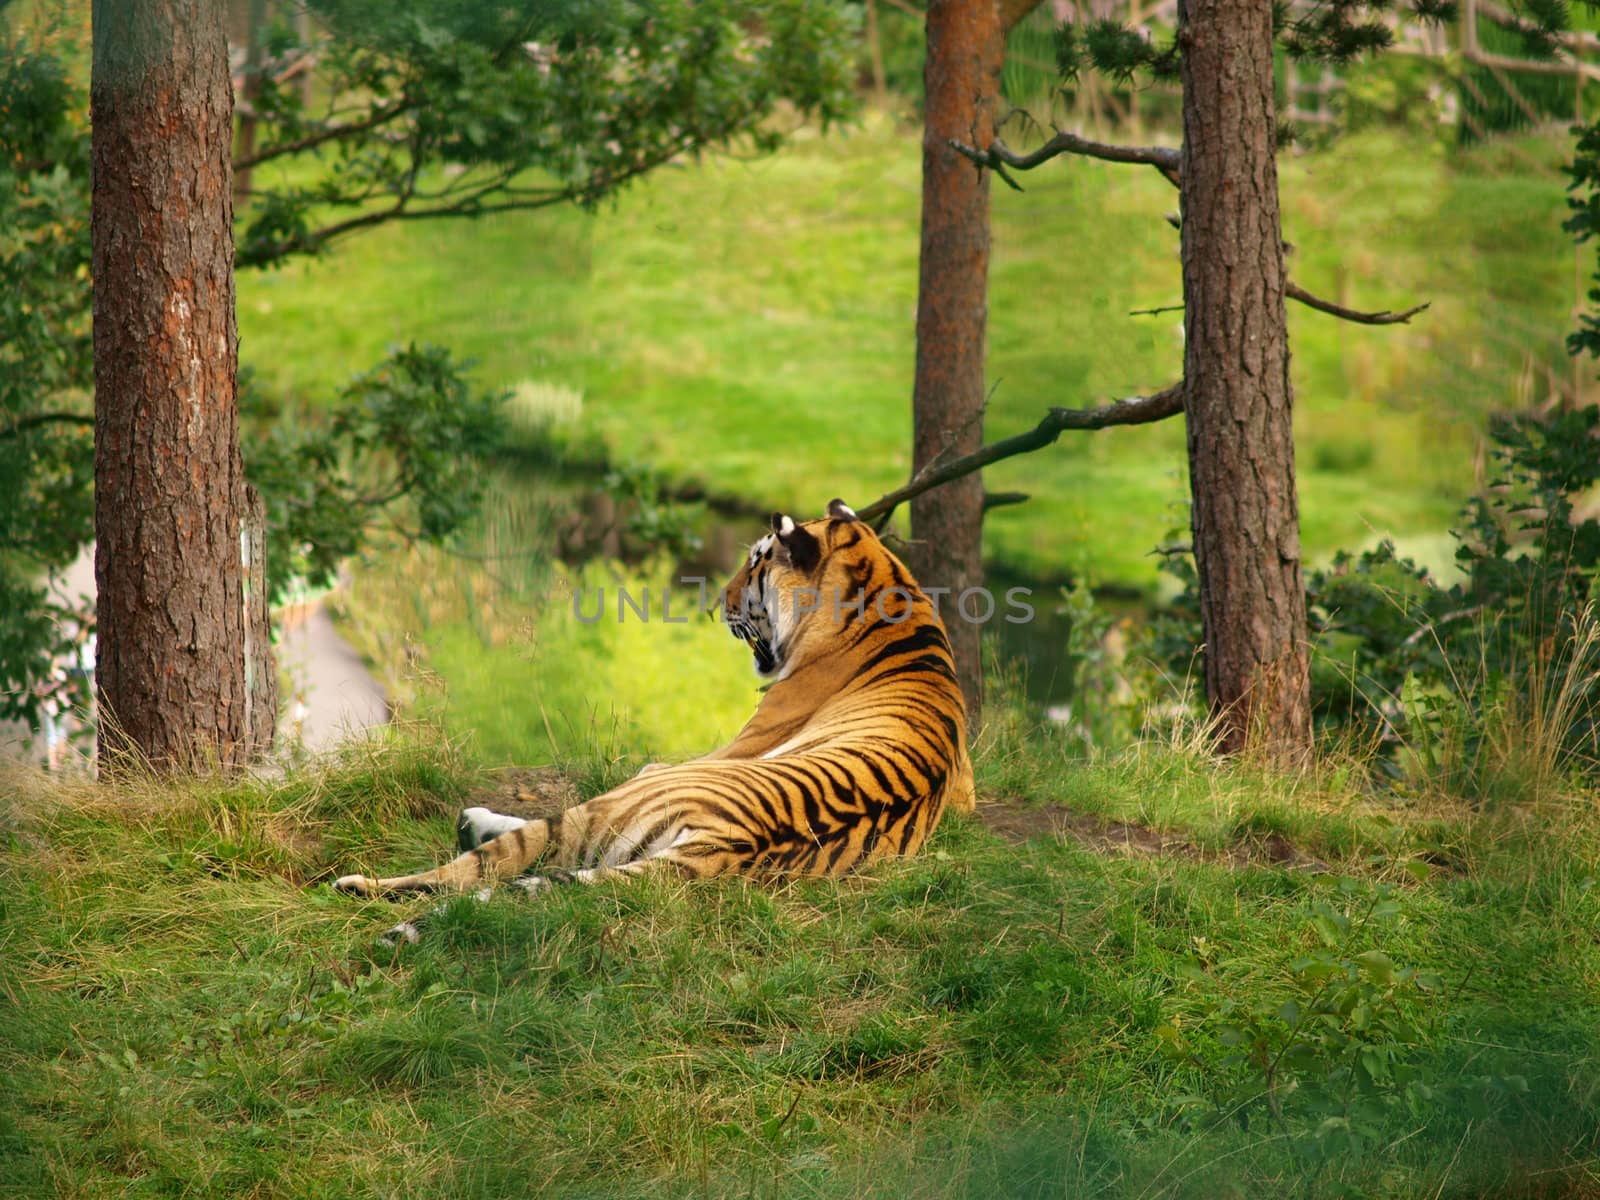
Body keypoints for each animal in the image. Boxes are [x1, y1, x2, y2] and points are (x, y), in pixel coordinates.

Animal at [331, 499, 966, 940]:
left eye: (755, 564)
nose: (718, 602)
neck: (889, 591)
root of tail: (726, 844)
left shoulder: (708, 752)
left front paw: (474, 820)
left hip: (608, 807)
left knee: (467, 873)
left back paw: (361, 882)